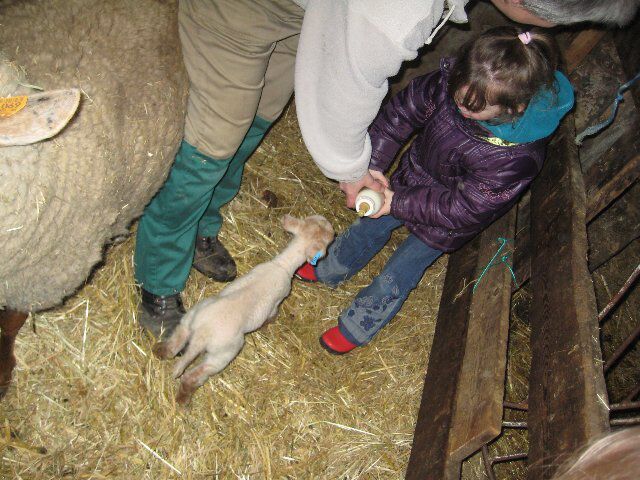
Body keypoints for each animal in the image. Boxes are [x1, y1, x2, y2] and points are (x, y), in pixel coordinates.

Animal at [153, 215, 335, 405]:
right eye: (329, 233)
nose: (333, 230)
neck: (282, 264)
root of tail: (201, 335)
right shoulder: (277, 301)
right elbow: (272, 316)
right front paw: (270, 323)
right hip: (223, 353)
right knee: (192, 376)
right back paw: (183, 399)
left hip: (190, 318)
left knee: (174, 345)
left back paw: (159, 351)